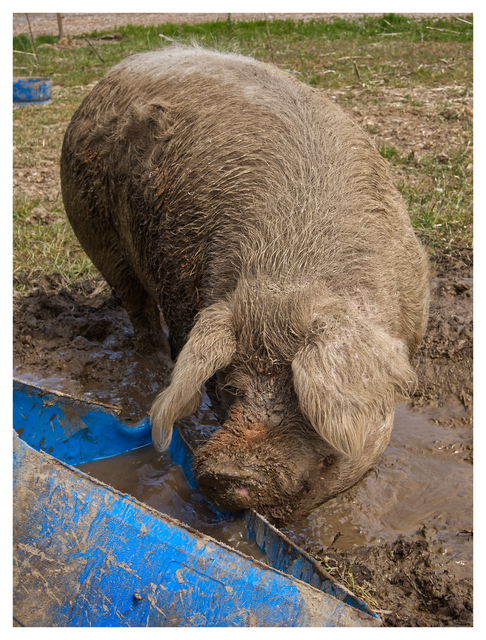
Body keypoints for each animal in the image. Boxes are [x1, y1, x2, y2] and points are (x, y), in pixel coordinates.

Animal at [61, 45, 430, 524]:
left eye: (303, 402)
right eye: (231, 387)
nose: (229, 471)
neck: (288, 275)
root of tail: (117, 69)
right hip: (93, 231)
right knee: (138, 311)